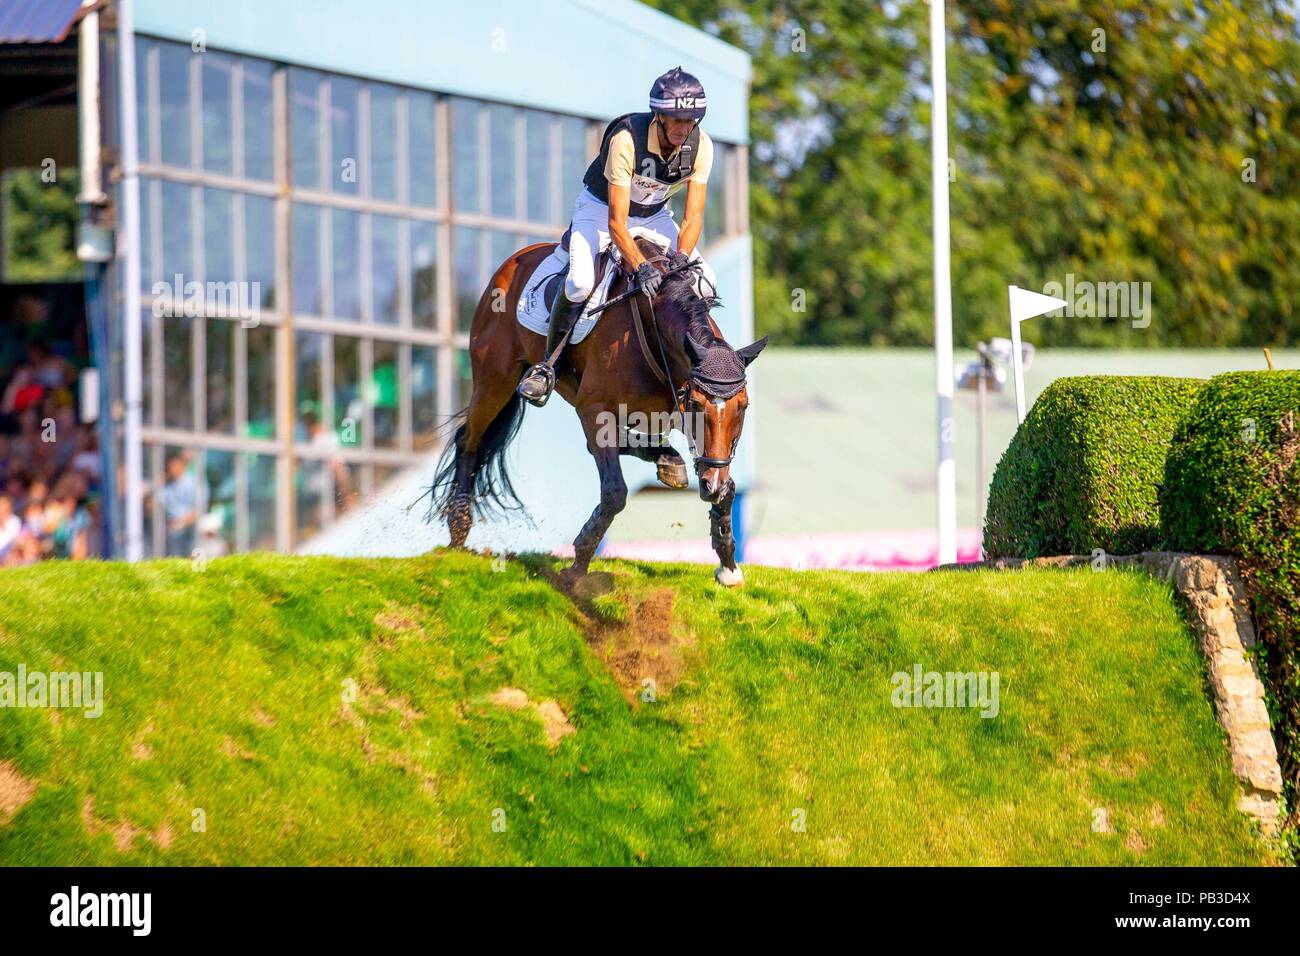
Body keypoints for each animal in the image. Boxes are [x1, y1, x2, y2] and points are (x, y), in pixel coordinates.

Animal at [431, 235, 764, 587]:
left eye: (743, 407)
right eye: (699, 406)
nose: (711, 485)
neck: (654, 329)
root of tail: (513, 261)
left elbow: (726, 486)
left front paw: (728, 566)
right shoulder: (594, 409)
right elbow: (615, 491)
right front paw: (578, 567)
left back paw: (667, 459)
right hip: (495, 380)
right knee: (470, 440)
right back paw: (458, 529)